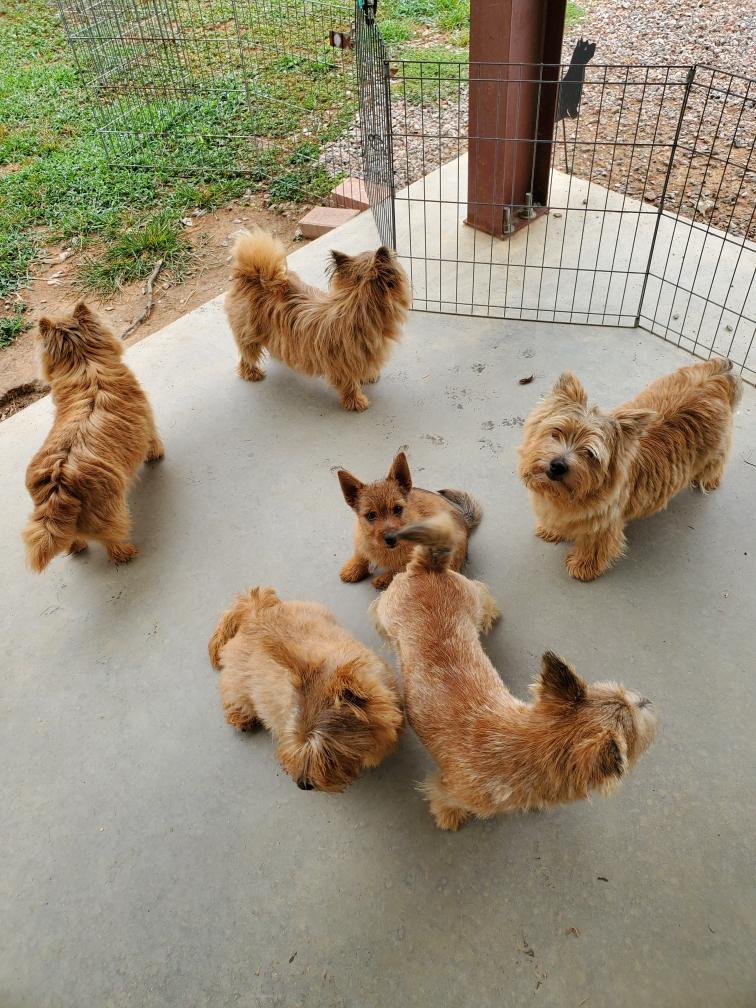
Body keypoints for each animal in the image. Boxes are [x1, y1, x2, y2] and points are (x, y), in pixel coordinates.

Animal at [22, 302, 163, 571]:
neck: (84, 365)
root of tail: (59, 482)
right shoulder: (148, 418)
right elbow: (153, 439)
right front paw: (156, 454)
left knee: (72, 538)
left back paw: (76, 547)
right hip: (111, 513)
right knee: (111, 542)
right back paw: (126, 552)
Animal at [225, 228, 411, 412]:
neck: (354, 306)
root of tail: (251, 276)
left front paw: (366, 376)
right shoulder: (341, 363)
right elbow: (348, 383)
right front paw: (356, 401)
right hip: (248, 334)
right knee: (246, 355)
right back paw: (251, 373)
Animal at [337, 450, 481, 589]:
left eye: (397, 509)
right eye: (371, 515)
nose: (391, 538)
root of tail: (464, 519)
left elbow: (399, 569)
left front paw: (384, 579)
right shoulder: (361, 540)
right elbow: (360, 554)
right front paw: (353, 569)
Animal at [371, 514, 658, 830]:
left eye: (623, 693)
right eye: (640, 730)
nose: (645, 699)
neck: (530, 742)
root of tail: (428, 567)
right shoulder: (450, 790)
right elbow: (445, 800)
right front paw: (449, 817)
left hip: (471, 599)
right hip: (393, 614)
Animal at [518, 359, 742, 580]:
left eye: (590, 454)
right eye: (556, 433)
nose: (557, 466)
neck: (565, 495)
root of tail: (716, 373)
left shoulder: (604, 525)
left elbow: (594, 546)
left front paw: (583, 566)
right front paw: (551, 530)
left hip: (716, 450)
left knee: (717, 463)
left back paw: (709, 481)